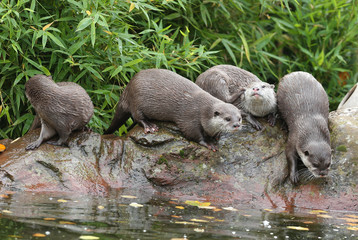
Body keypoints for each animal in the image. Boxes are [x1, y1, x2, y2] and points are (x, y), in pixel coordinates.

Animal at [105, 68, 242, 150]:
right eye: (227, 118)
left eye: (240, 118)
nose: (236, 125)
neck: (204, 111)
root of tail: (127, 88)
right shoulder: (190, 117)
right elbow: (193, 133)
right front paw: (209, 143)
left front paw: (216, 136)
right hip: (136, 100)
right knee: (137, 117)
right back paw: (150, 126)